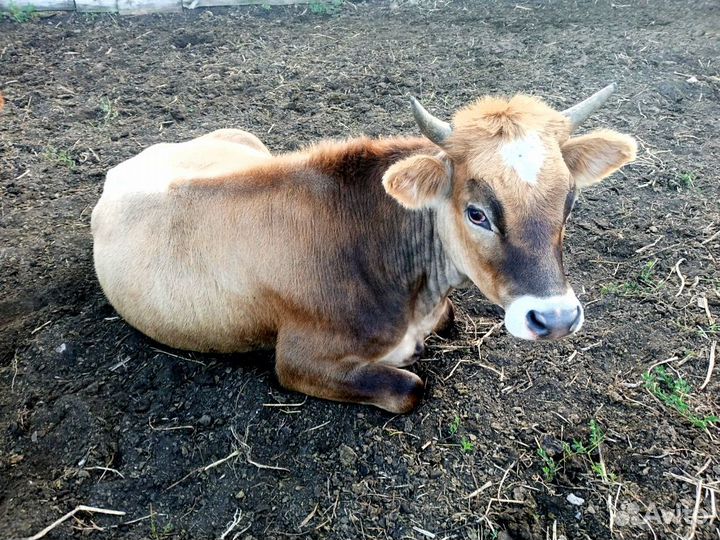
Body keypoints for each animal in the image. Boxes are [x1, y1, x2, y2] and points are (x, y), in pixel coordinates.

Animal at [91, 84, 637, 413]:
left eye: (569, 200)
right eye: (476, 212)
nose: (556, 319)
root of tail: (140, 157)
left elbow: (450, 318)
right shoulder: (298, 360)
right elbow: (411, 386)